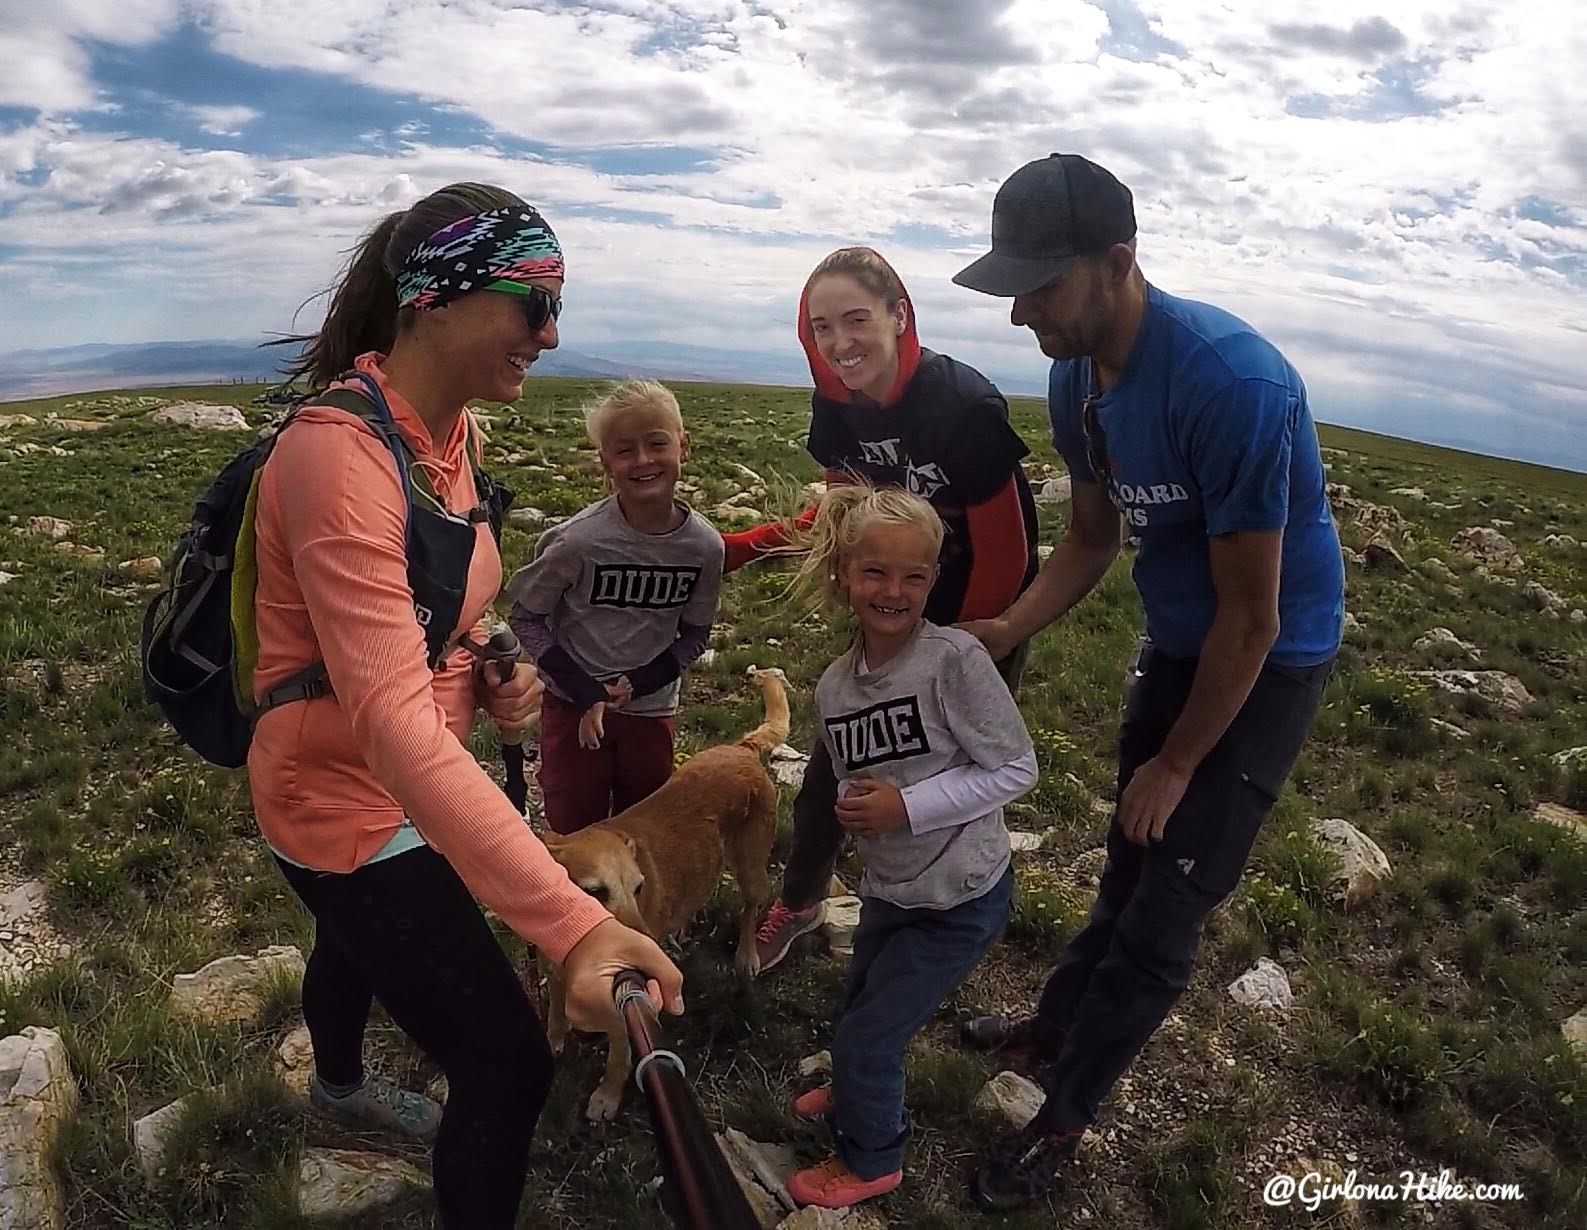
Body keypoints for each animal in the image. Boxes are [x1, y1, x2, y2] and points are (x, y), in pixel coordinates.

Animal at [542, 669, 790, 1123]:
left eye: (639, 888)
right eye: (596, 891)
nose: (646, 954)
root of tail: (742, 749)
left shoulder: (625, 1010)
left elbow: (619, 1056)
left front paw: (607, 1095)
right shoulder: (553, 968)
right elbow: (554, 1011)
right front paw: (554, 1038)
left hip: (751, 869)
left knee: (750, 909)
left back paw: (746, 955)